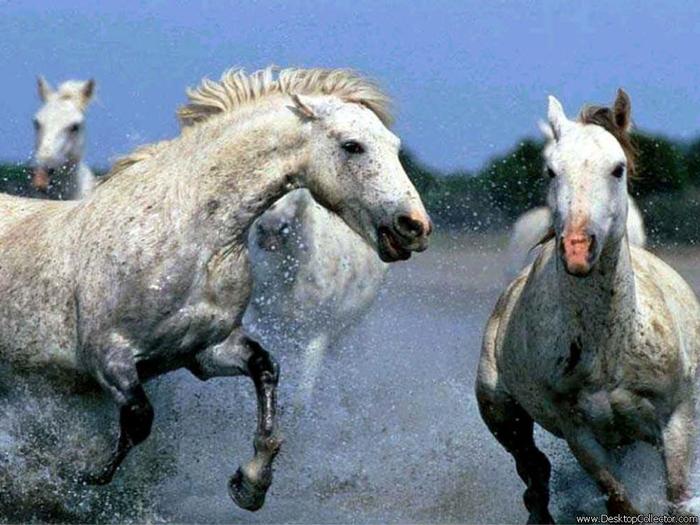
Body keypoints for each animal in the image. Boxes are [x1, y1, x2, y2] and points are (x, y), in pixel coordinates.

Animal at [476, 89, 699, 522]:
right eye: (550, 170)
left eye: (617, 168)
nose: (578, 249)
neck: (609, 345)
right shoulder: (580, 432)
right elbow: (618, 500)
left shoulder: (676, 419)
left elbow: (677, 498)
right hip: (501, 412)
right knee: (534, 471)